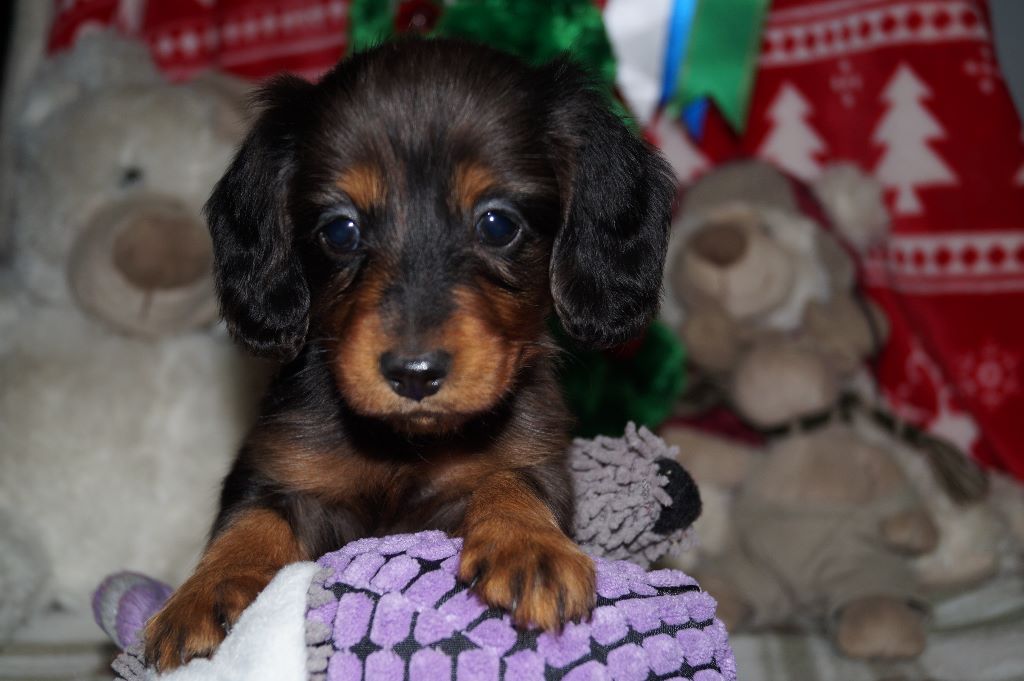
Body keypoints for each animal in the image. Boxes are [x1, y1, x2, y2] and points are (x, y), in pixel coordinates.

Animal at [144, 38, 671, 667]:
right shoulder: (278, 464)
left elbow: (512, 481)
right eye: (340, 230)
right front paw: (207, 591)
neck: (403, 444)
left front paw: (528, 547)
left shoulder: (535, 453)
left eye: (498, 224)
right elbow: (252, 517)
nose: (414, 375)